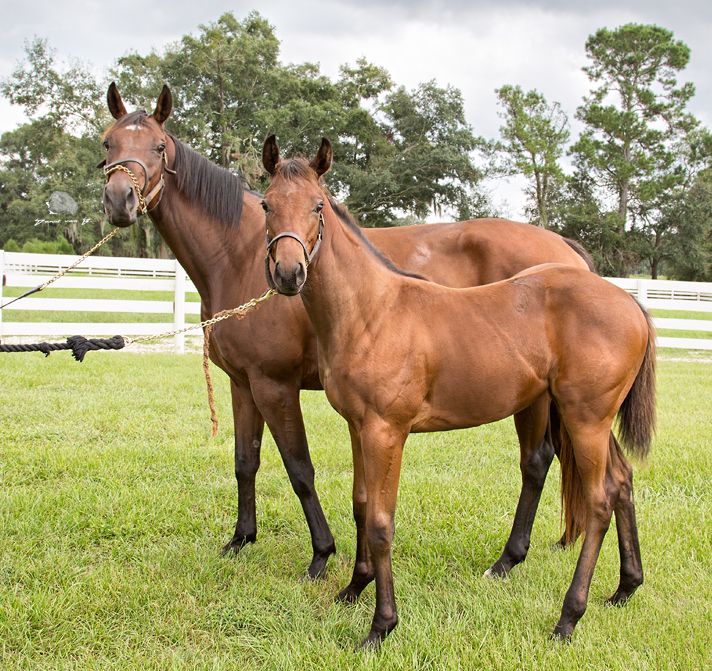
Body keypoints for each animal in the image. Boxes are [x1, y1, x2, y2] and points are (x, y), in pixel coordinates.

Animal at [101, 83, 594, 579]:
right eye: (108, 143)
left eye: (158, 147)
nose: (120, 200)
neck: (238, 255)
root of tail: (563, 247)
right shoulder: (243, 383)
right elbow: (246, 461)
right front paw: (241, 539)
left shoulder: (275, 385)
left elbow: (300, 469)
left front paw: (322, 554)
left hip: (536, 399)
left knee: (536, 462)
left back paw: (510, 558)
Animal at [260, 135, 656, 646]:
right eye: (267, 204)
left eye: (318, 205)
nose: (289, 274)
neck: (372, 311)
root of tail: (629, 301)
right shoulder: (357, 426)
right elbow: (361, 505)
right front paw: (352, 588)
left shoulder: (387, 431)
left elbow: (382, 523)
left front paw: (381, 625)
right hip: (589, 418)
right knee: (622, 481)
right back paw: (624, 588)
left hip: (584, 419)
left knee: (599, 502)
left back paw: (568, 617)